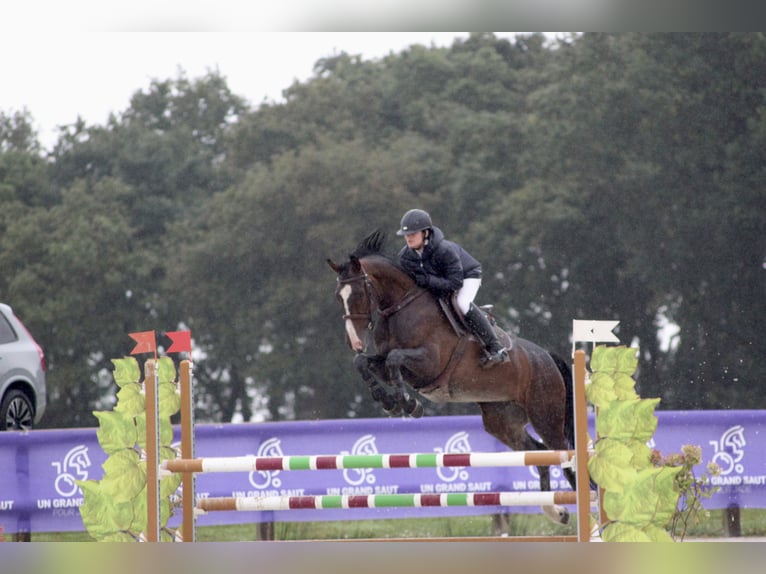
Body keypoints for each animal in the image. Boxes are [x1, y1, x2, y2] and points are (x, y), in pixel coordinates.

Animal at [328, 231, 580, 528]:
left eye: (357, 294)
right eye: (338, 296)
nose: (354, 342)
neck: (400, 306)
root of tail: (546, 357)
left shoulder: (429, 363)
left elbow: (394, 359)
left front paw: (406, 403)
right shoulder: (383, 361)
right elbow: (365, 364)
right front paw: (390, 402)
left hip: (545, 415)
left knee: (565, 458)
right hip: (502, 421)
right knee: (539, 454)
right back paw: (556, 511)